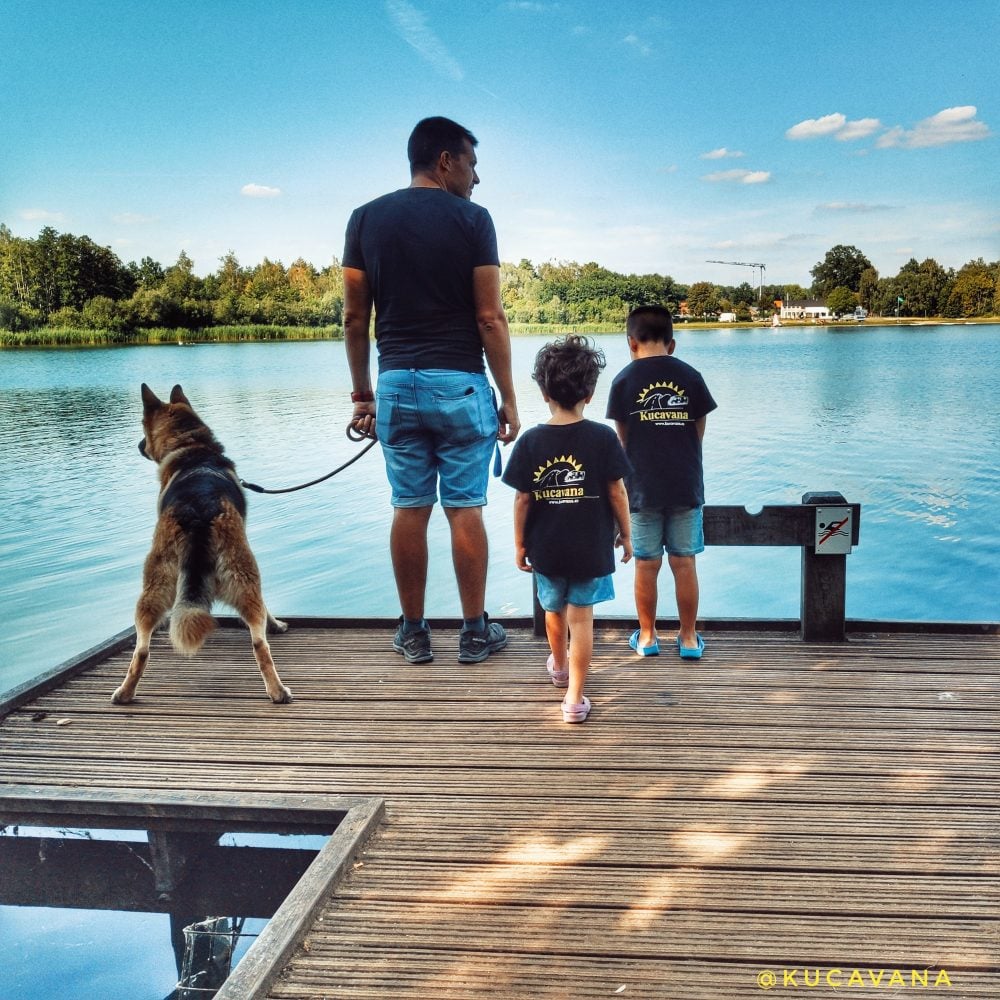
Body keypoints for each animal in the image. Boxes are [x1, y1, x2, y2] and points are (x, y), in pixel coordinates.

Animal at [114, 382, 292, 704]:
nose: (138, 445)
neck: (191, 446)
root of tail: (198, 510)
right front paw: (276, 624)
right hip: (244, 578)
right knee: (259, 643)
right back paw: (277, 690)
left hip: (152, 588)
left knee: (141, 650)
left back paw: (124, 692)